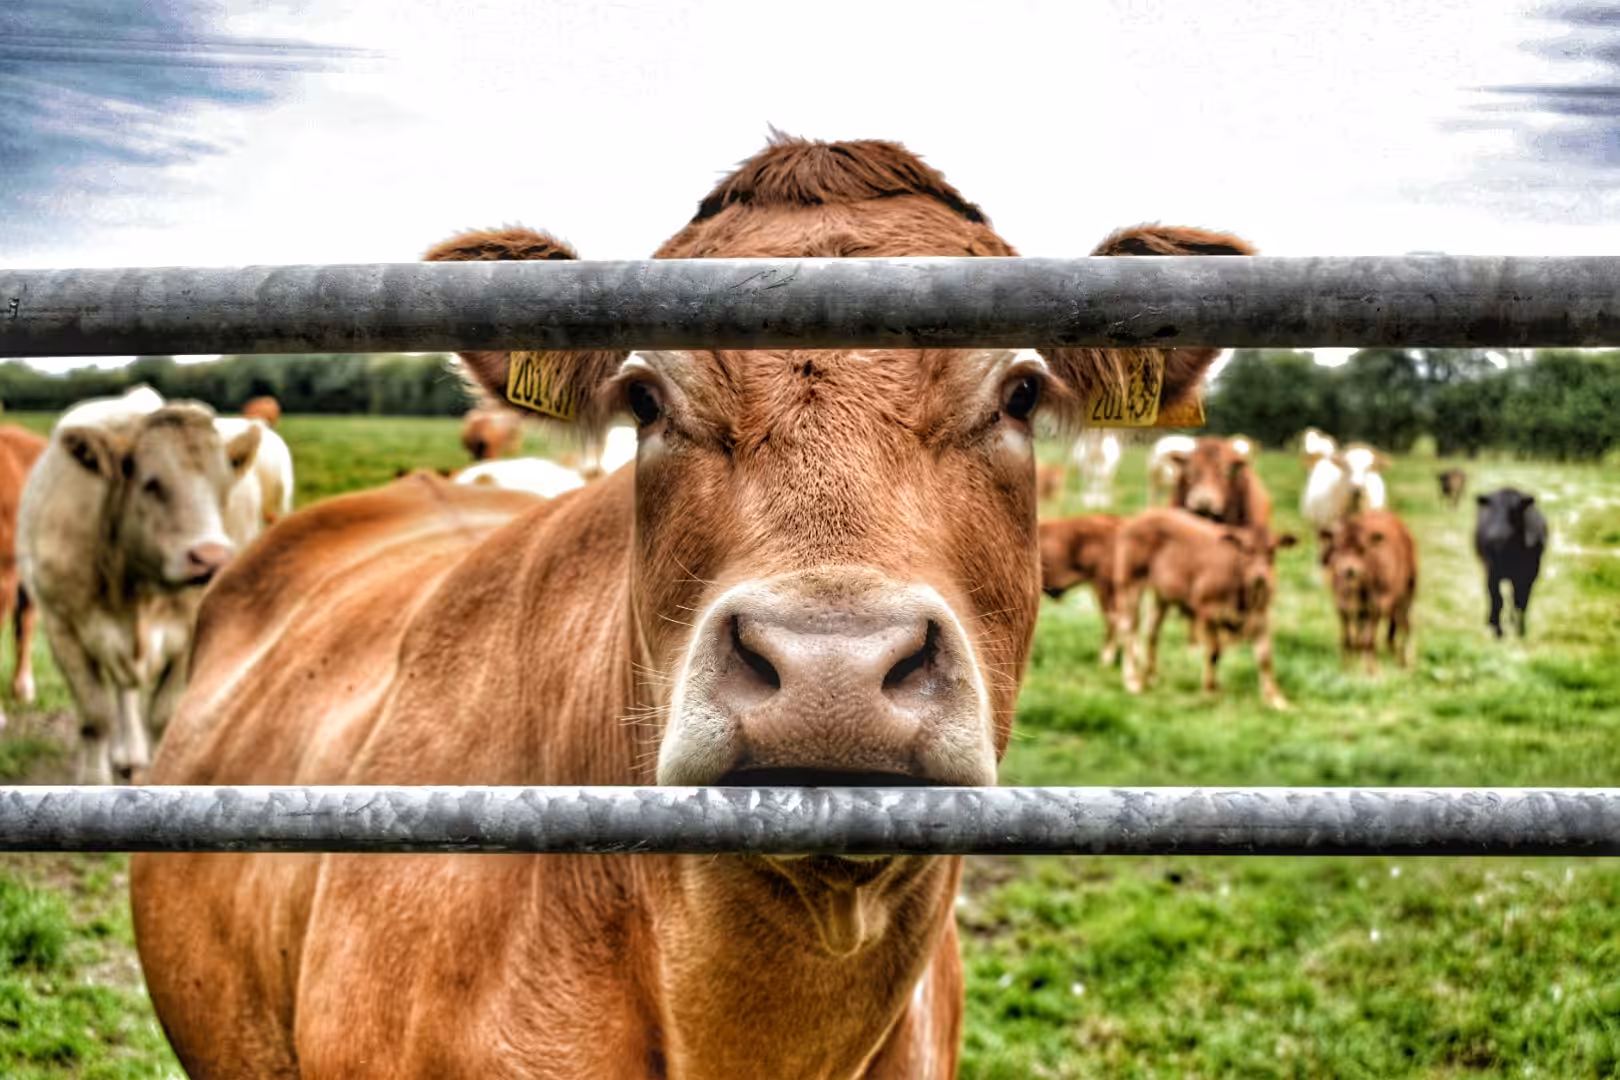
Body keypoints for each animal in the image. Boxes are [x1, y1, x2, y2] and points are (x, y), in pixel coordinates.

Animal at [18, 394, 262, 783]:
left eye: (224, 485)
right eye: (151, 483)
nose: (210, 557)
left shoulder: (190, 633)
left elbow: (164, 715)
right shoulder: (61, 626)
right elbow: (96, 716)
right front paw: (93, 780)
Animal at [1113, 508, 1296, 709]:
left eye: (1273, 551)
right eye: (1246, 549)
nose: (1260, 577)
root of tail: (1142, 515)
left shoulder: (1262, 618)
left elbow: (1265, 658)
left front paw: (1278, 700)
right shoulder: (1206, 611)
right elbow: (1214, 652)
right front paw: (1210, 690)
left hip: (1162, 596)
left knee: (1151, 631)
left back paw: (1152, 676)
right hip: (1130, 582)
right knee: (1128, 629)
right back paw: (1133, 681)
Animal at [1321, 510, 1417, 672]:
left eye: (1362, 549)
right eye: (1338, 548)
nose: (1349, 570)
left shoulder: (1375, 605)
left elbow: (1370, 640)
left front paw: (1372, 669)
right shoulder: (1341, 605)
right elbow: (1347, 637)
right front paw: (1346, 666)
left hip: (1407, 593)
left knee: (1405, 625)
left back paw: (1403, 660)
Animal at [1474, 487, 1547, 639]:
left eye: (1514, 511)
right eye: (1492, 510)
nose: (1496, 536)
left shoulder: (1529, 575)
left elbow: (1521, 601)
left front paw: (1520, 631)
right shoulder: (1492, 573)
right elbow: (1497, 599)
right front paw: (1497, 631)